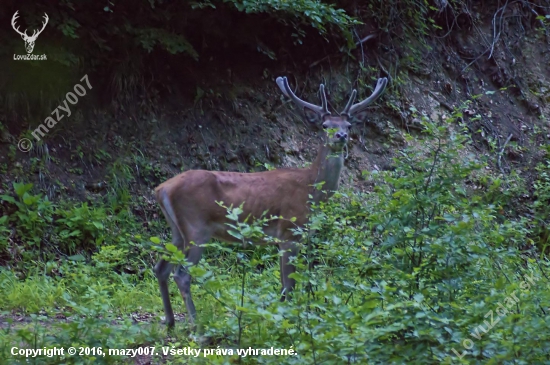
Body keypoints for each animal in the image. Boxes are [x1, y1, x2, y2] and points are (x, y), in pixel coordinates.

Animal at [153, 74, 390, 328]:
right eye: (325, 126)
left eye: (348, 125)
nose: (341, 136)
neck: (310, 188)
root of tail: (161, 188)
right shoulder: (290, 232)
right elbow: (289, 285)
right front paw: (288, 321)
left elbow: (284, 285)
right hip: (197, 228)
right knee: (181, 274)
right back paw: (196, 325)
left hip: (178, 231)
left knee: (161, 268)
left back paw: (170, 321)